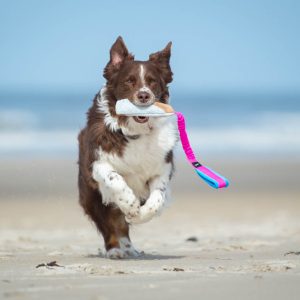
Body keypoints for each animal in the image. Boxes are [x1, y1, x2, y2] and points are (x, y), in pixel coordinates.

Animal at [77, 37, 178, 258]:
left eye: (152, 81)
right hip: (91, 197)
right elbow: (116, 180)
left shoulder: (162, 168)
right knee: (108, 223)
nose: (144, 95)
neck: (135, 131)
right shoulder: (97, 163)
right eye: (129, 81)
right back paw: (115, 249)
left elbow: (157, 198)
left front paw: (139, 214)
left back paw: (130, 248)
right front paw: (130, 206)